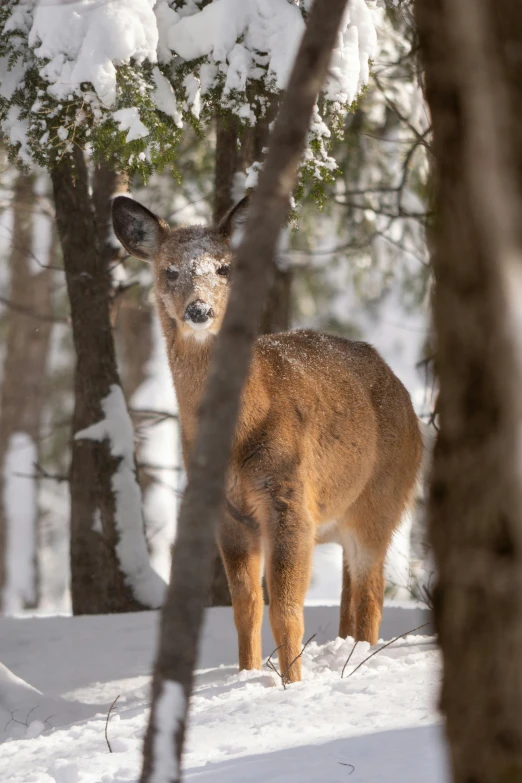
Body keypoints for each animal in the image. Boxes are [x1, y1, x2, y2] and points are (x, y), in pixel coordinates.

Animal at [111, 194, 420, 680]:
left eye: (224, 267)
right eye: (170, 270)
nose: (199, 310)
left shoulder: (289, 498)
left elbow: (287, 611)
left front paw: (291, 684)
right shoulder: (227, 514)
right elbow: (246, 609)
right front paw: (247, 675)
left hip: (384, 496)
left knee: (372, 591)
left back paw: (360, 660)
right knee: (350, 593)